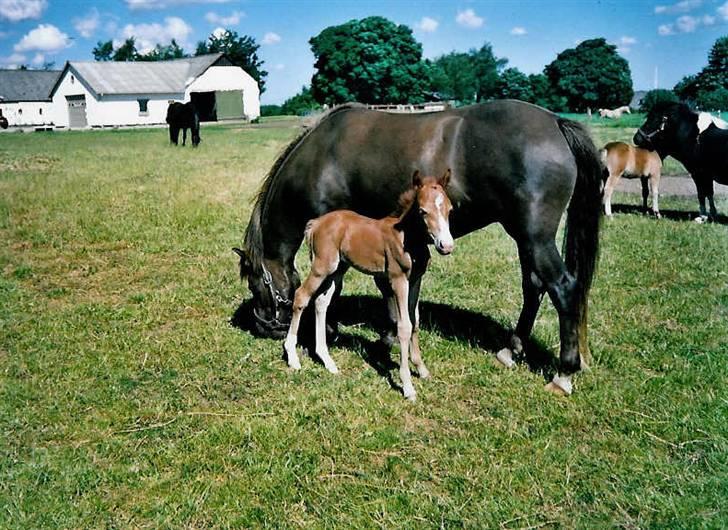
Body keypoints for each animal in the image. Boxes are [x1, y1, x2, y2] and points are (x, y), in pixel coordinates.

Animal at [284, 170, 456, 400]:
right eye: (423, 211)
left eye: (449, 209)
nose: (446, 246)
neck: (406, 238)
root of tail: (316, 223)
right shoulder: (398, 279)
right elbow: (404, 326)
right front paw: (408, 386)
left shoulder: (416, 280)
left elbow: (416, 321)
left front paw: (422, 369)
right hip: (322, 266)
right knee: (302, 296)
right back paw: (293, 358)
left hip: (338, 269)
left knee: (321, 302)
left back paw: (328, 361)